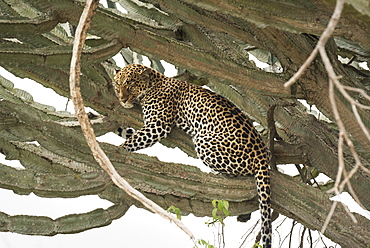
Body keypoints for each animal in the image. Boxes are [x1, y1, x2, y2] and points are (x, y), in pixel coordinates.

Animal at [114, 64, 274, 248]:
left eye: (131, 84)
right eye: (118, 84)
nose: (122, 99)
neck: (153, 83)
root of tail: (262, 153)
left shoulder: (158, 125)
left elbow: (133, 140)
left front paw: (117, 150)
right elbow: (130, 133)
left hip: (204, 141)